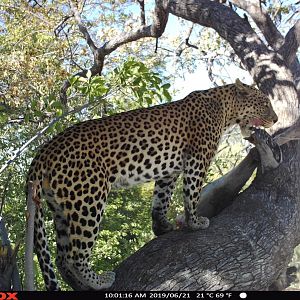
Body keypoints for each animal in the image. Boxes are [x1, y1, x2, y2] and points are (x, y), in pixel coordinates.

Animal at [26, 78, 278, 290]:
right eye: (265, 103)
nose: (276, 119)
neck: (225, 109)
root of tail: (42, 153)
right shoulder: (197, 158)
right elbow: (192, 193)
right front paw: (195, 222)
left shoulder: (170, 171)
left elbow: (161, 199)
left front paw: (161, 227)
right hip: (89, 198)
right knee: (76, 255)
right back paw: (99, 281)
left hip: (61, 207)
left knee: (60, 258)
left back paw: (81, 285)